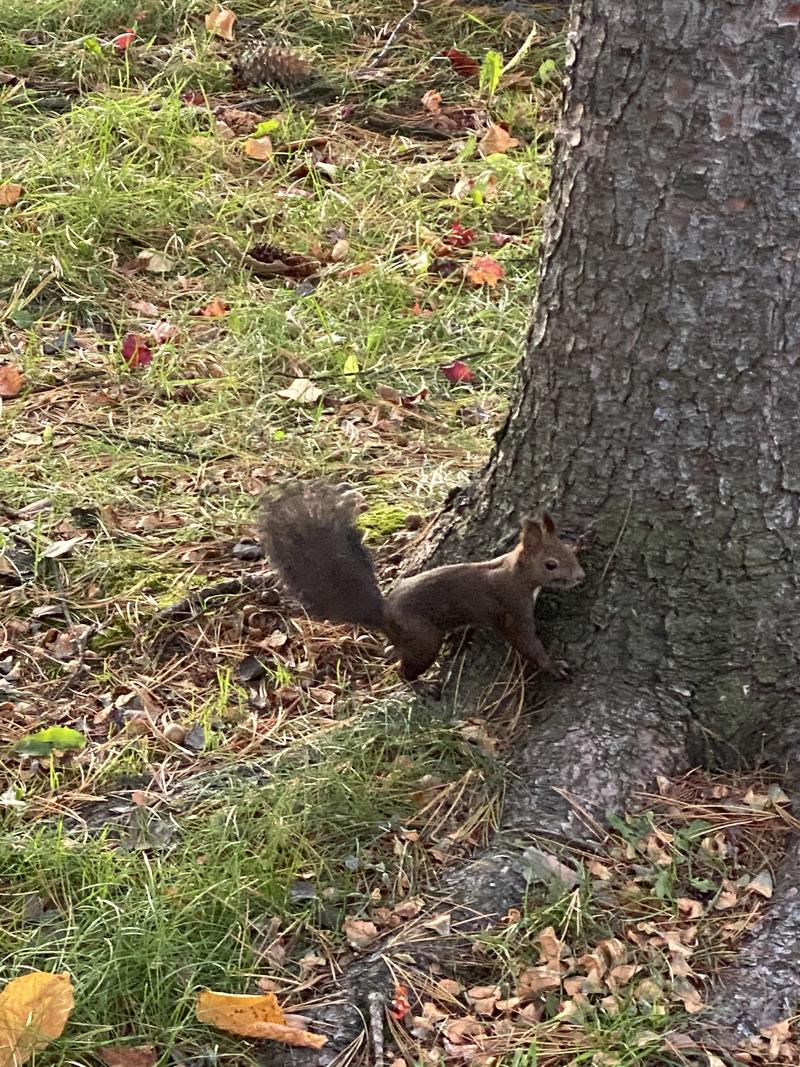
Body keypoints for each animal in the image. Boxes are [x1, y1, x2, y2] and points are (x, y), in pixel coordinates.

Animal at [260, 484, 584, 682]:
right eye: (550, 565)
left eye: (568, 551)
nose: (580, 577)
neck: (516, 573)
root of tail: (385, 616)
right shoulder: (512, 608)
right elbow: (525, 641)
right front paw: (553, 665)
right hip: (424, 639)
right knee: (406, 670)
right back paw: (420, 684)